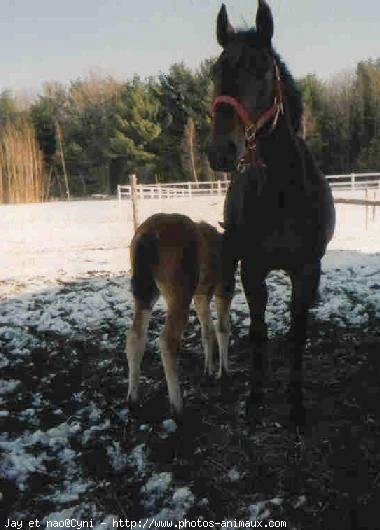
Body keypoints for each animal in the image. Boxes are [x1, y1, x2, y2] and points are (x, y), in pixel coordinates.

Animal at [208, 0, 336, 422]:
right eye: (216, 72)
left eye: (262, 68)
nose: (220, 151)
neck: (282, 192)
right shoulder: (252, 270)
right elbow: (259, 332)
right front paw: (255, 398)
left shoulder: (306, 269)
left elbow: (297, 333)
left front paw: (295, 403)